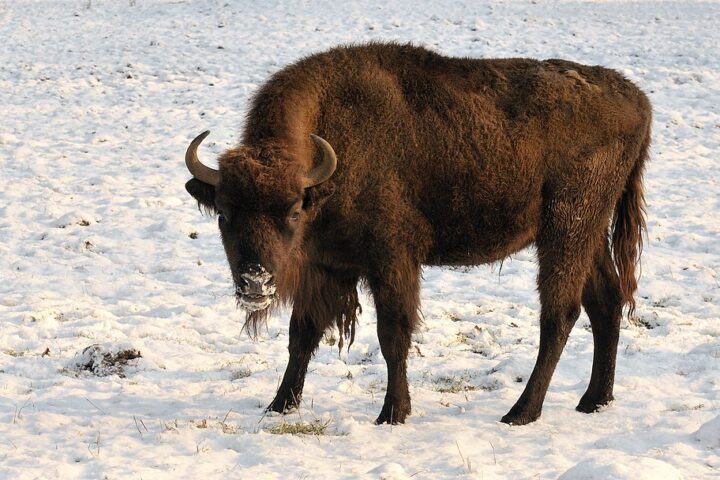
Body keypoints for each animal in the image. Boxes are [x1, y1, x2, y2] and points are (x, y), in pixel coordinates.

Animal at [183, 41, 648, 424]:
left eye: (294, 210)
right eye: (223, 213)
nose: (255, 282)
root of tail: (637, 100)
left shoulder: (391, 261)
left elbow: (393, 335)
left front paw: (393, 413)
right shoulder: (326, 265)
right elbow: (303, 334)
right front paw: (279, 405)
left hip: (566, 231)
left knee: (560, 313)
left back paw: (521, 412)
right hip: (590, 235)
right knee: (606, 301)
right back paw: (594, 400)